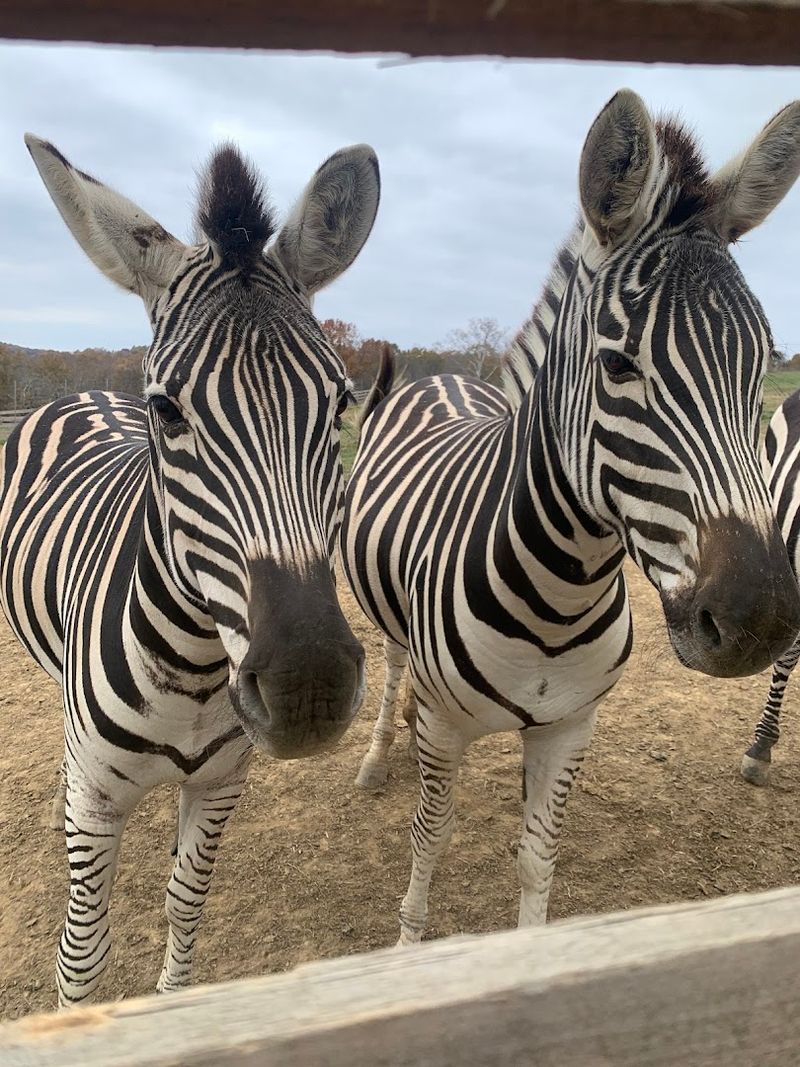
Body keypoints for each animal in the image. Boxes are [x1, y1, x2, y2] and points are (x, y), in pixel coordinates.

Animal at [0, 133, 379, 1006]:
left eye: (339, 403)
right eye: (167, 411)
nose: (309, 687)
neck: (198, 666)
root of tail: (82, 399)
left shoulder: (219, 783)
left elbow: (185, 901)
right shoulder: (97, 797)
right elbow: (82, 956)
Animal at [341, 90, 800, 945]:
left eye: (762, 365)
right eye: (617, 364)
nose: (758, 622)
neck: (560, 591)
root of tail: (444, 378)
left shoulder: (569, 727)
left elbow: (536, 857)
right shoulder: (446, 728)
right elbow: (430, 838)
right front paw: (409, 939)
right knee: (391, 667)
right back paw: (378, 753)